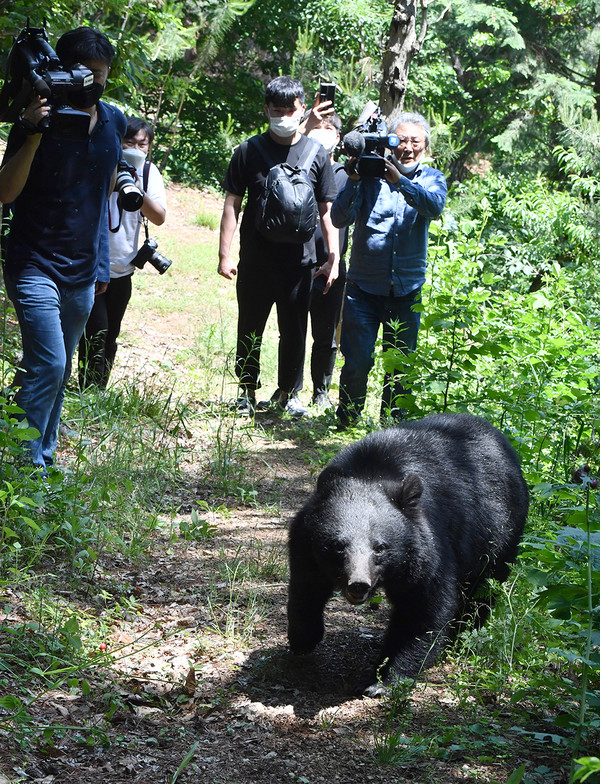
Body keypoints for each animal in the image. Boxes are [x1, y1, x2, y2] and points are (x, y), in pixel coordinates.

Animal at [288, 414, 528, 696]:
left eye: (380, 547)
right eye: (338, 545)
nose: (358, 584)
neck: (370, 473)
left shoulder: (429, 543)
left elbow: (422, 605)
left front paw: (382, 680)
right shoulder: (305, 544)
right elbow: (307, 586)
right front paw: (303, 639)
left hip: (499, 535)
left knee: (482, 591)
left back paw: (463, 635)